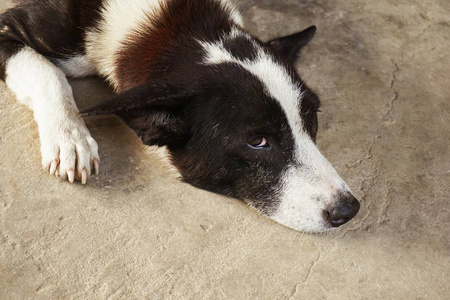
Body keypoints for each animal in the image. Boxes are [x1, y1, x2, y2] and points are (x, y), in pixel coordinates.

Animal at [0, 0, 358, 232]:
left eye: (311, 119)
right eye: (258, 141)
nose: (349, 210)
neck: (172, 22)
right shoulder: (7, 30)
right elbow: (48, 73)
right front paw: (68, 136)